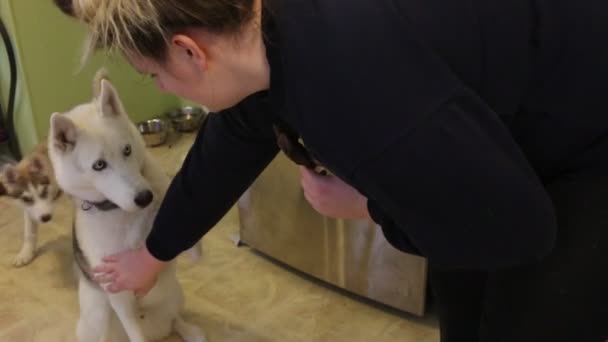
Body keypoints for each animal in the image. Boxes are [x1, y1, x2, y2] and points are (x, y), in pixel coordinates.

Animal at [48, 71, 204, 342]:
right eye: (99, 165)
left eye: (127, 150)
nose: (144, 198)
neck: (122, 212)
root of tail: (156, 330)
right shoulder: (118, 293)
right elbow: (135, 333)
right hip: (96, 316)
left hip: (175, 294)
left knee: (175, 319)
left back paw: (190, 331)